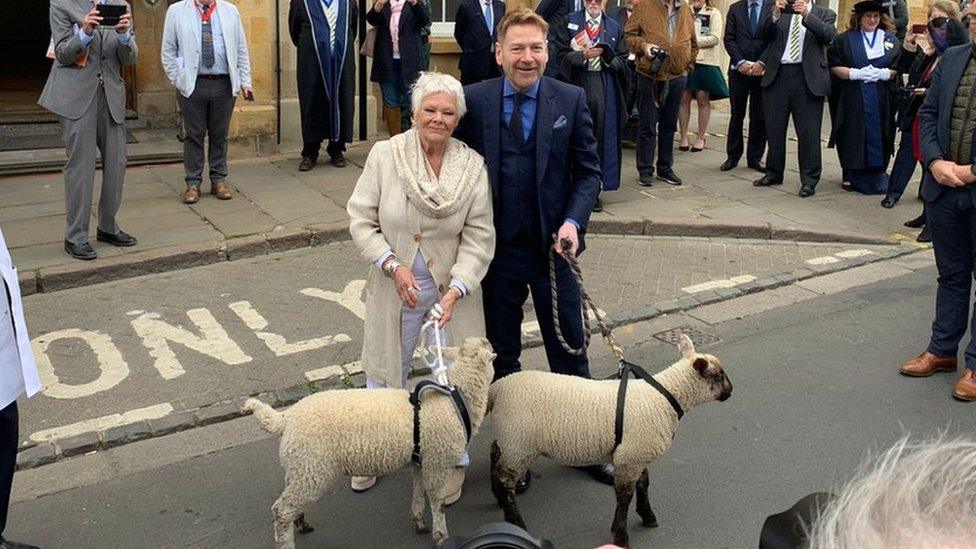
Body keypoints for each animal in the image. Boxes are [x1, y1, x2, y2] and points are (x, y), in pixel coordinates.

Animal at [241, 336, 500, 544]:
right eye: (487, 347)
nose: (490, 341)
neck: (456, 400)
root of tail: (285, 418)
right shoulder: (437, 462)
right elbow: (438, 503)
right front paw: (441, 536)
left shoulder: (422, 460)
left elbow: (418, 492)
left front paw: (419, 521)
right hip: (312, 468)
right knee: (281, 511)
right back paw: (286, 540)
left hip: (300, 466)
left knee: (289, 500)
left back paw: (301, 523)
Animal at [488, 332, 732, 544]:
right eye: (718, 375)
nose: (731, 390)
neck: (664, 397)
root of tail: (496, 389)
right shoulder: (631, 457)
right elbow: (625, 496)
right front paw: (621, 536)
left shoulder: (635, 452)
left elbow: (643, 483)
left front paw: (647, 515)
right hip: (518, 443)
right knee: (504, 480)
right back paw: (515, 521)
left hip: (509, 439)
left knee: (494, 456)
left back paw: (498, 500)